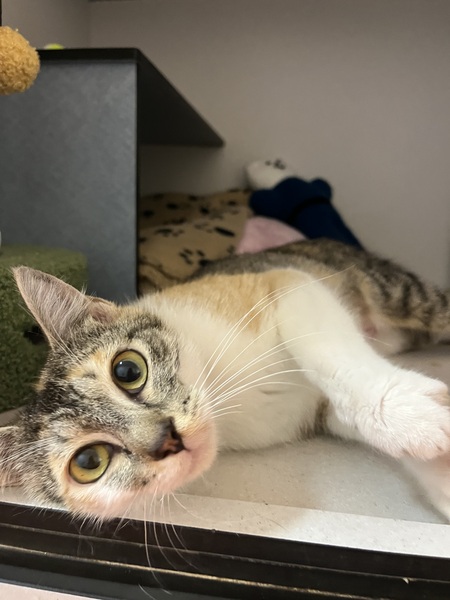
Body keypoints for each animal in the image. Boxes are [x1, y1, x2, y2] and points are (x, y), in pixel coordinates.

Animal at [1, 238, 450, 521]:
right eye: (89, 462)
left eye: (128, 370)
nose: (167, 438)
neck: (226, 402)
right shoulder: (315, 411)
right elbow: (344, 414)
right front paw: (438, 470)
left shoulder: (284, 285)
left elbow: (329, 352)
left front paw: (402, 412)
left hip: (395, 292)